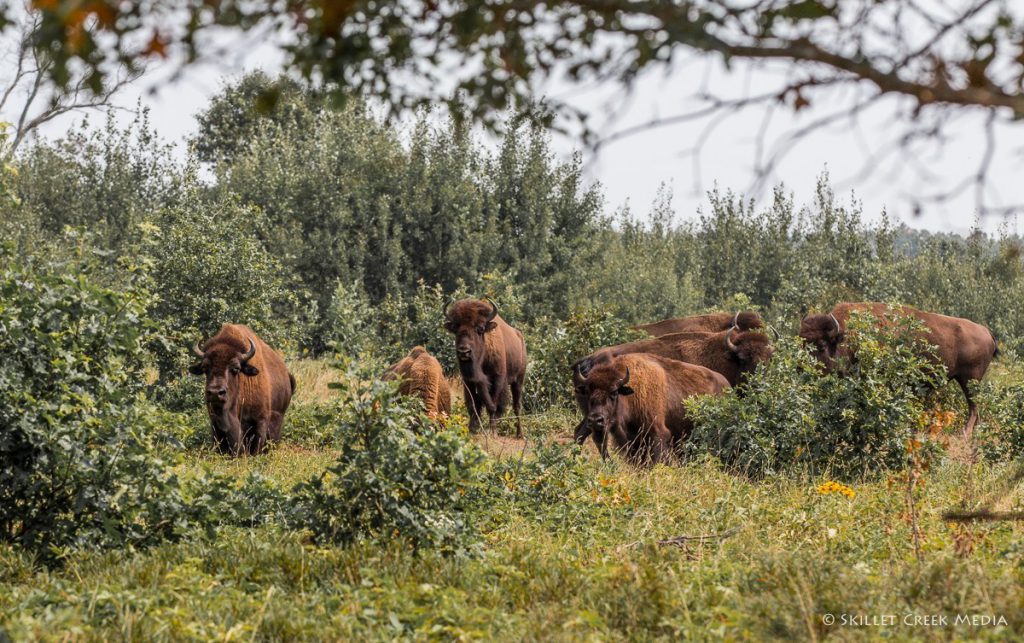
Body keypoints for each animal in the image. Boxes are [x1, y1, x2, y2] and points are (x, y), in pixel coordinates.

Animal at [189, 323, 296, 454]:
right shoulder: (215, 423)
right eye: (205, 368)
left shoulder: (260, 420)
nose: (215, 392)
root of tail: (287, 375)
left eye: (236, 368)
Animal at [444, 301, 528, 436]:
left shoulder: (497, 380)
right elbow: (473, 405)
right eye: (456, 329)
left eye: (480, 329)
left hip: (518, 380)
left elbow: (492, 405)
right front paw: (471, 429)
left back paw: (520, 434)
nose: (464, 352)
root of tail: (520, 337)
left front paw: (493, 431)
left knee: (516, 406)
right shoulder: (469, 381)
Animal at [577, 352, 729, 466]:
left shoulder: (657, 433)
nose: (596, 420)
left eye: (614, 392)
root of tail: (727, 385)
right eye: (588, 392)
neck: (632, 393)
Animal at [798, 301, 999, 436]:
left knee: (973, 407)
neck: (850, 335)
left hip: (970, 380)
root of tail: (986, 331)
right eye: (802, 343)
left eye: (821, 345)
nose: (801, 369)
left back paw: (965, 433)